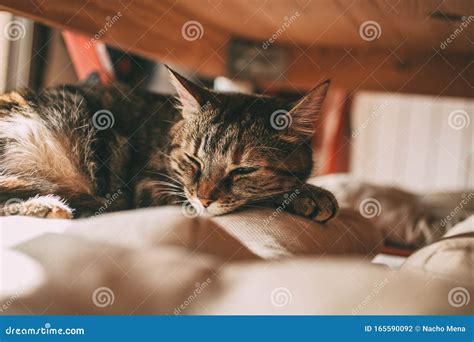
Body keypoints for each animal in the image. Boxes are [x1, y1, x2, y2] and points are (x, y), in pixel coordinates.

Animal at [0, 67, 340, 222]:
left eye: (244, 170)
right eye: (193, 160)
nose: (204, 199)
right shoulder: (148, 185)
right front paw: (311, 194)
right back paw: (47, 206)